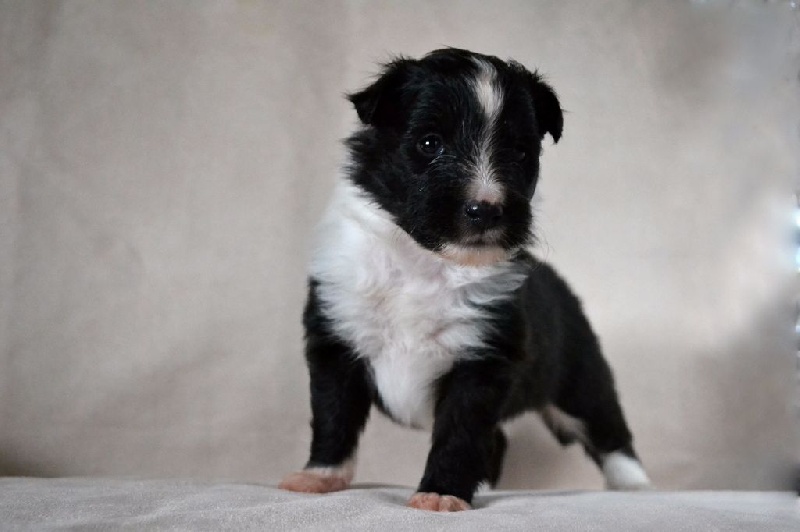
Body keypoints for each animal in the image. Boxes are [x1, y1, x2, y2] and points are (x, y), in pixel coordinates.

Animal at [282, 48, 648, 512]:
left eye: (520, 152)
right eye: (429, 143)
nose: (485, 210)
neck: (425, 262)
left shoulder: (482, 359)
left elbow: (460, 432)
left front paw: (441, 493)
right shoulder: (337, 338)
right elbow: (334, 415)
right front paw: (319, 477)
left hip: (578, 375)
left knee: (608, 431)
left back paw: (637, 488)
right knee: (502, 441)